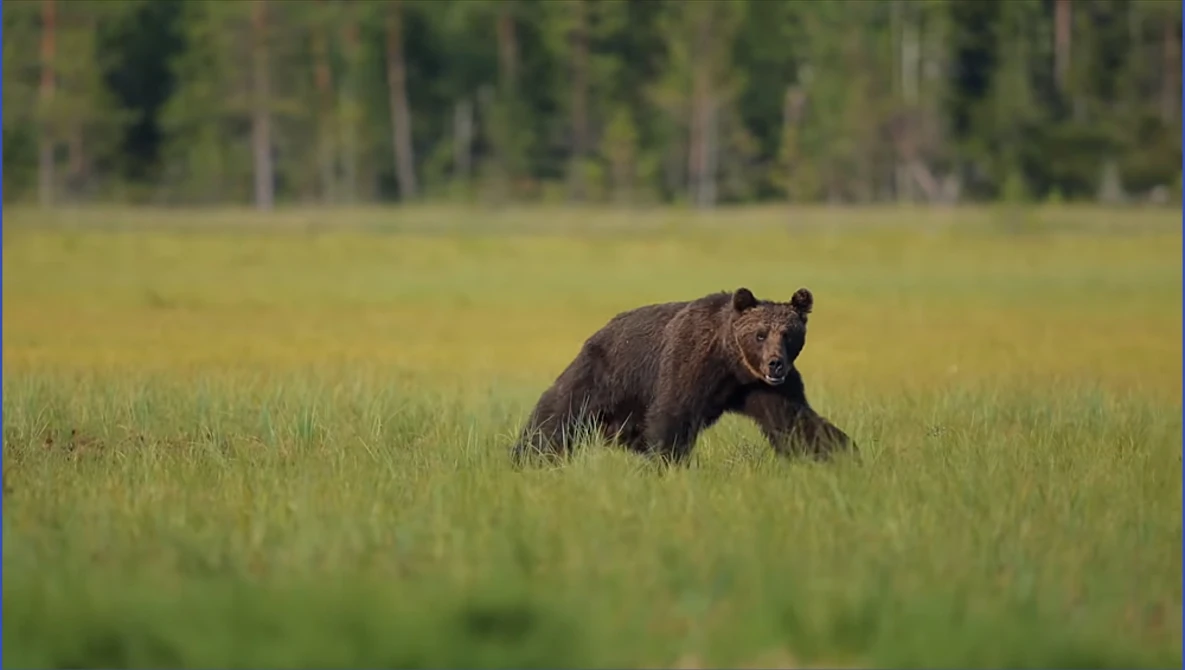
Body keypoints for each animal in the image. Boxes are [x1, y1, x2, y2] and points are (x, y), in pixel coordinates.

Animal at [510, 287, 855, 466]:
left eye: (788, 334)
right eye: (760, 334)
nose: (775, 364)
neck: (733, 364)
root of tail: (602, 328)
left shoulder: (764, 389)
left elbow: (795, 421)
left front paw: (844, 454)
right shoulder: (690, 362)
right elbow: (673, 415)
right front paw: (667, 464)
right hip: (604, 373)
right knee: (557, 413)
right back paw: (527, 456)